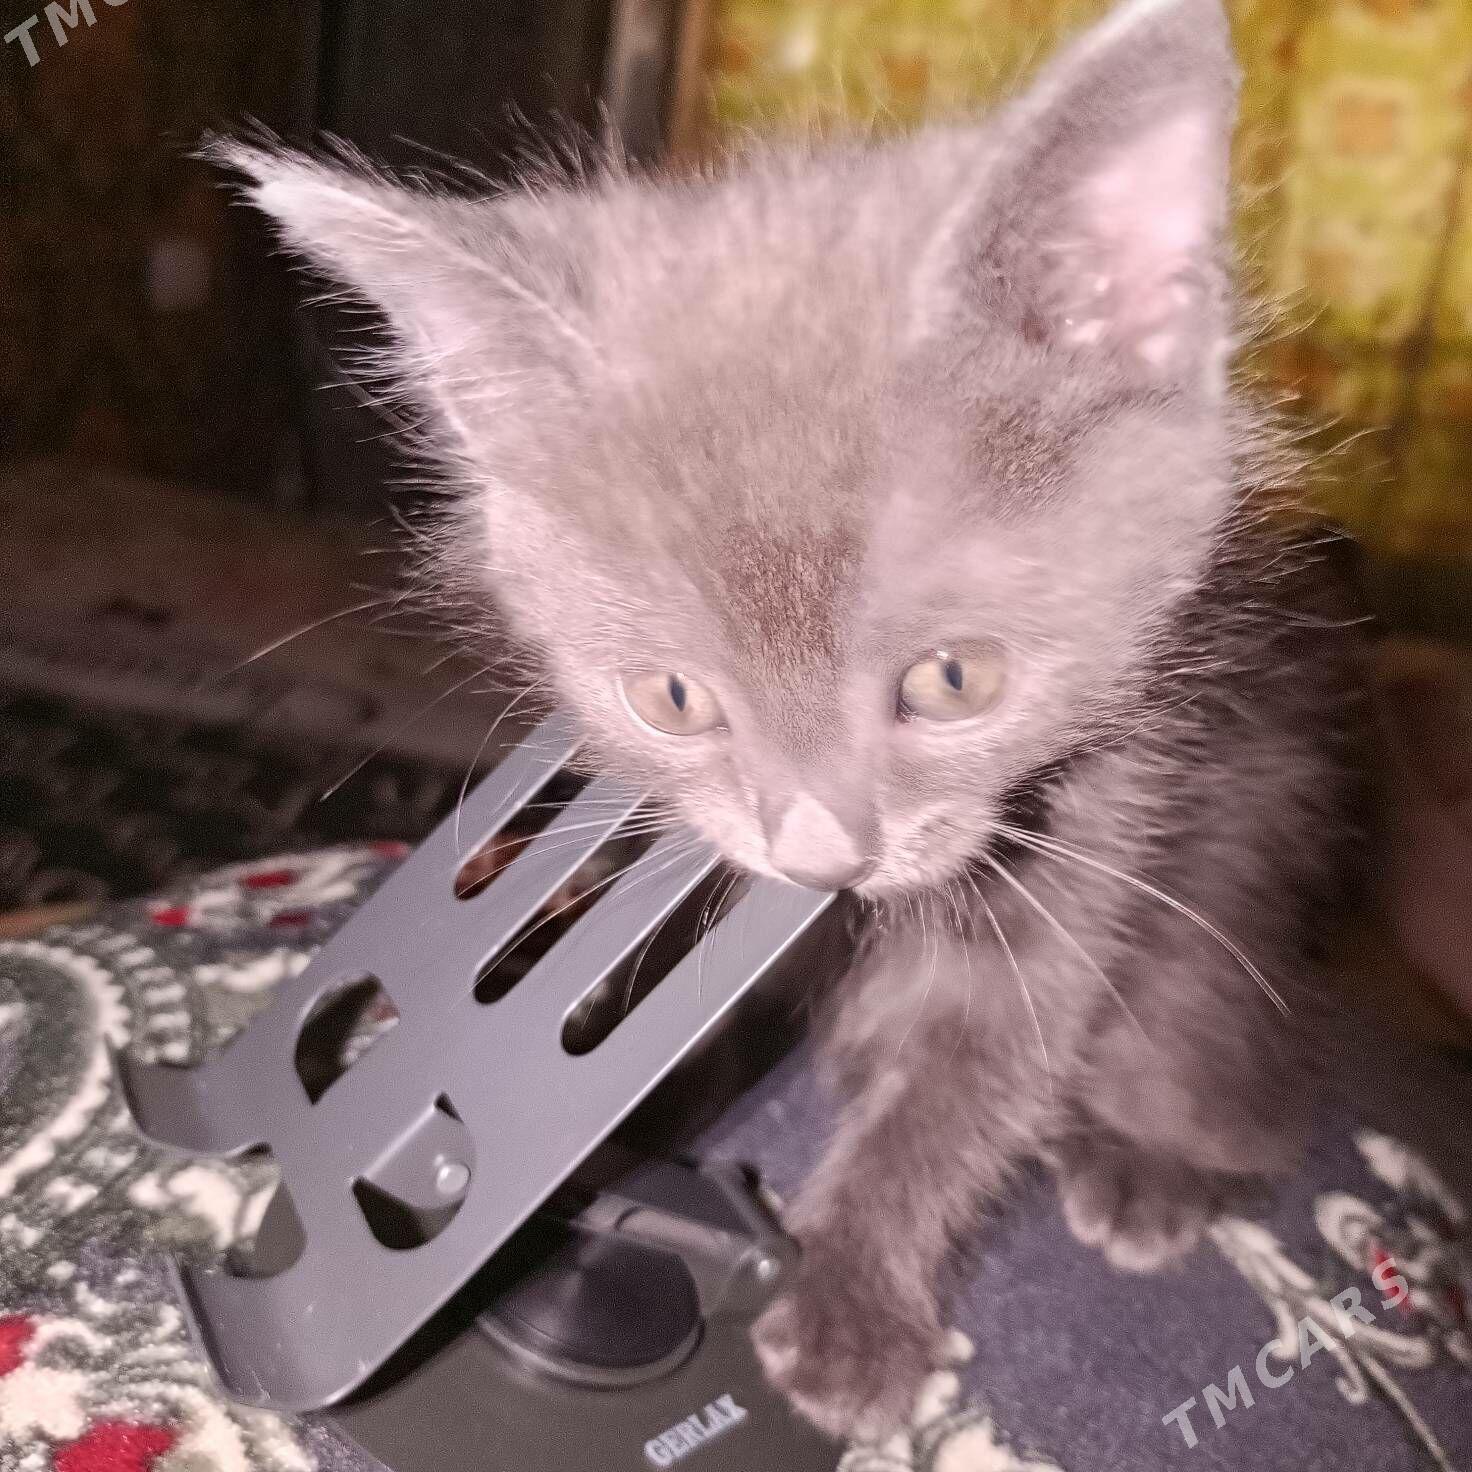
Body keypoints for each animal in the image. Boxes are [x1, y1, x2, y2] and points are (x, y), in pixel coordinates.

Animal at [217, 0, 1368, 1439]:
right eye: (674, 698)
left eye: (952, 680)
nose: (825, 852)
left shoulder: (1107, 809)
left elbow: (973, 1069)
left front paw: (849, 1300)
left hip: (1242, 848)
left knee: (1227, 1063)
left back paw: (1148, 1166)